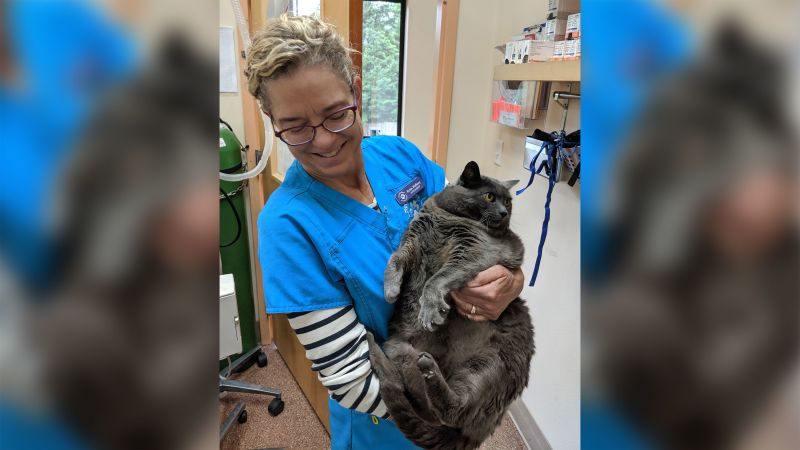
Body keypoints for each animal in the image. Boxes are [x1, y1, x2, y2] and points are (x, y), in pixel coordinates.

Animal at [370, 162, 536, 450]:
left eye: (508, 201)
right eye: (489, 196)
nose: (504, 212)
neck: (447, 218)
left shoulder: (475, 252)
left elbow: (437, 279)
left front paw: (429, 310)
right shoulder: (413, 240)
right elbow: (395, 257)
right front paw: (390, 290)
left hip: (493, 361)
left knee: (454, 410)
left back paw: (431, 370)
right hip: (398, 349)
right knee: (425, 406)